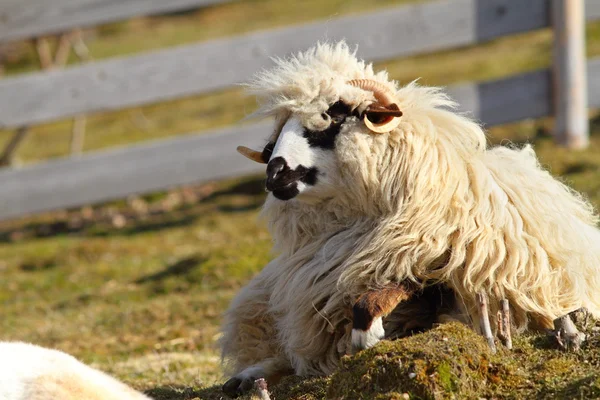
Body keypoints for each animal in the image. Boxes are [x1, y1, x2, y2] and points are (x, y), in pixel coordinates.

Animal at [220, 42, 600, 398]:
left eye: (334, 116)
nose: (274, 174)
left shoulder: (434, 265)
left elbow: (380, 297)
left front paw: (368, 337)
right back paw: (244, 377)